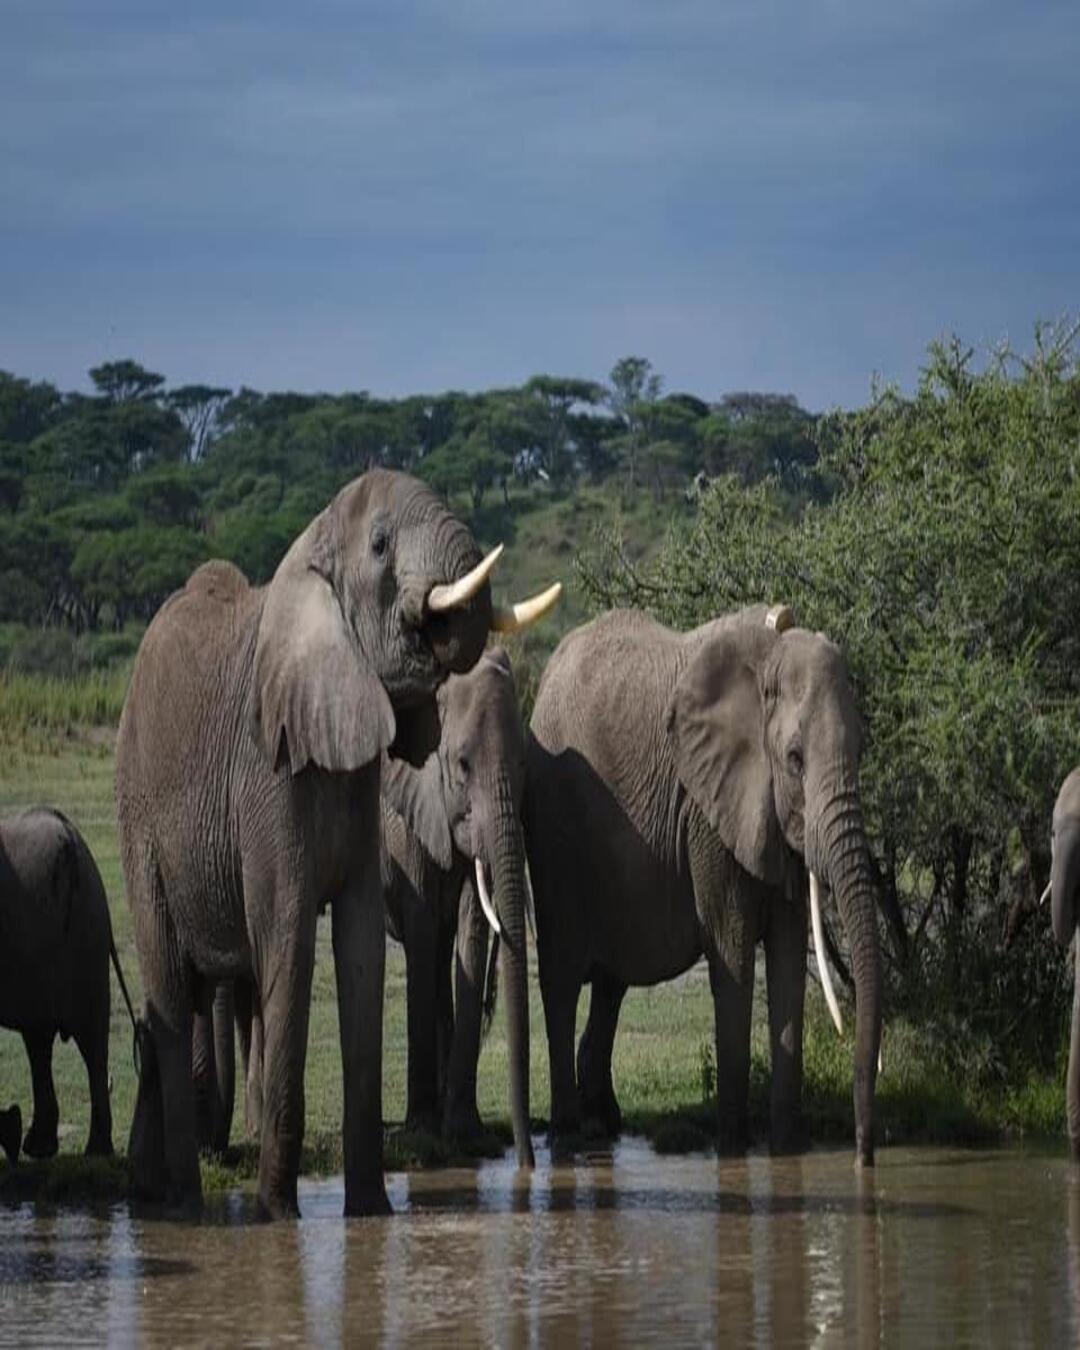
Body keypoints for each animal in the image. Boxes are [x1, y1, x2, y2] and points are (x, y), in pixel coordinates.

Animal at [0, 807, 136, 1160]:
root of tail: (73, 841)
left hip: (85, 937)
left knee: (85, 1043)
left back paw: (90, 1151)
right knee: (44, 1038)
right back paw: (38, 1146)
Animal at [116, 467, 556, 1218]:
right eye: (379, 546)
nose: (527, 1169)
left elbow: (362, 946)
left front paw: (371, 1214)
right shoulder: (267, 770)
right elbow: (291, 933)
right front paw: (276, 1216)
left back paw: (153, 1190)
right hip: (137, 814)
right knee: (172, 983)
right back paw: (182, 1204)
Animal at [524, 603, 882, 1165]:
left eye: (863, 749)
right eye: (795, 759)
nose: (865, 1156)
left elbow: (787, 962)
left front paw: (788, 1153)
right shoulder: (708, 811)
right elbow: (732, 953)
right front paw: (732, 1152)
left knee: (610, 983)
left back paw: (602, 1125)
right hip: (552, 824)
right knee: (562, 977)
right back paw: (566, 1137)